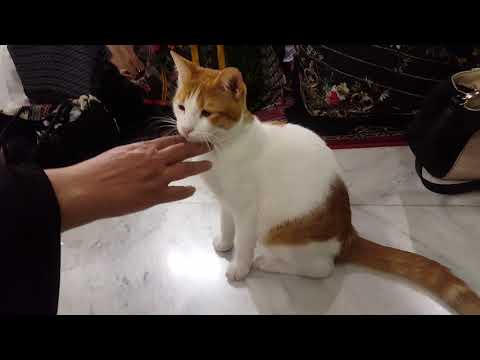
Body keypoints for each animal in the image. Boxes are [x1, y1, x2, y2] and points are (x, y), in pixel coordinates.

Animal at [170, 51, 480, 316]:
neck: (223, 147)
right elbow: (226, 222)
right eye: (181, 107)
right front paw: (224, 242)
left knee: (322, 268)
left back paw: (268, 262)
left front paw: (239, 267)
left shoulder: (247, 211)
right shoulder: (225, 200)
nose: (185, 129)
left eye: (207, 113)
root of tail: (348, 235)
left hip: (280, 236)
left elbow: (243, 241)